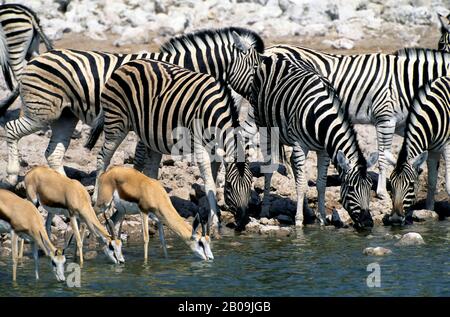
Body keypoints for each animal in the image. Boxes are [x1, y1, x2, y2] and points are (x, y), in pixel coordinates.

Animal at [1, 27, 264, 186]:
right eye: (256, 70)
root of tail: (36, 59)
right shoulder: (151, 117)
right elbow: (140, 158)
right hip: (42, 112)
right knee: (11, 130)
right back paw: (12, 176)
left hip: (65, 116)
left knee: (53, 154)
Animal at [91, 59, 253, 231]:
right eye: (228, 187)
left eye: (250, 185)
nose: (242, 222)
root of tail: (126, 64)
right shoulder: (198, 142)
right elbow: (209, 183)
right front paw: (215, 221)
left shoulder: (214, 151)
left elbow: (212, 183)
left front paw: (211, 215)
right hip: (116, 124)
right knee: (102, 157)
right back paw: (96, 196)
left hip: (149, 134)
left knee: (150, 171)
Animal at [251, 53, 378, 227]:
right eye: (351, 188)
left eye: (370, 187)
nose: (368, 223)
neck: (321, 117)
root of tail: (272, 57)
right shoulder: (300, 145)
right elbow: (302, 185)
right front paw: (298, 221)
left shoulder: (324, 150)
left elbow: (320, 184)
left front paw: (322, 219)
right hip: (265, 128)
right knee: (270, 168)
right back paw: (265, 211)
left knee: (294, 168)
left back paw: (307, 210)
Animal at [264, 44, 450, 200]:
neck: (407, 82)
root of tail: (271, 48)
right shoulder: (385, 119)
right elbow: (383, 156)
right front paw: (382, 192)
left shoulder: (403, 124)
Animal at [384, 76, 448, 225]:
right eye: (391, 186)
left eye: (411, 185)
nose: (395, 219)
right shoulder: (432, 150)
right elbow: (432, 182)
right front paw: (429, 212)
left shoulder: (447, 146)